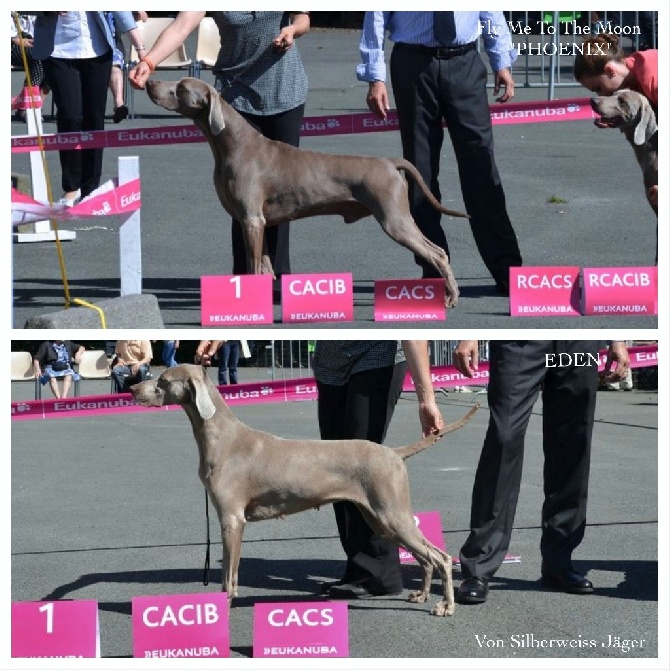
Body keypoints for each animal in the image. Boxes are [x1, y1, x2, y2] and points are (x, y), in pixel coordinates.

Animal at [130, 368, 478, 620]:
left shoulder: (232, 519)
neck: (221, 438)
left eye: (162, 381)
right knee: (427, 557)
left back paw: (446, 606)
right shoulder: (231, 520)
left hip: (392, 514)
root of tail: (393, 452)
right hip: (381, 519)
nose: (132, 389)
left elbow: (229, 572)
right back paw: (421, 594)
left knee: (441, 557)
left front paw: (223, 605)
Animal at [146, 77, 472, 308]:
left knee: (438, 253)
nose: (149, 82)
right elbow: (263, 267)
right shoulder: (257, 222)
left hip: (395, 219)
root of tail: (390, 161)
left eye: (181, 87)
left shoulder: (251, 220)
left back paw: (451, 296)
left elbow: (251, 268)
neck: (232, 144)